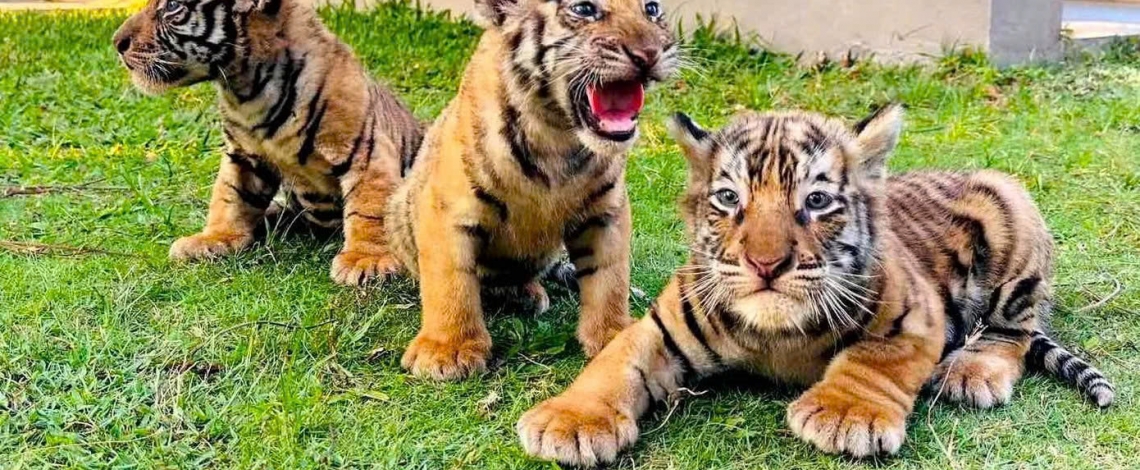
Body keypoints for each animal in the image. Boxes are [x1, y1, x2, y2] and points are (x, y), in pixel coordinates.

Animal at [112, 0, 423, 286]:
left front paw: (367, 259)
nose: (117, 42)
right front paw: (214, 238)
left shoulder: (365, 151)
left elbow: (369, 209)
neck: (246, 89)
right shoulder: (242, 155)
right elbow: (229, 197)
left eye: (172, 7)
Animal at [386, 0, 678, 380]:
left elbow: (610, 277)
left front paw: (613, 337)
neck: (558, 134)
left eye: (652, 8)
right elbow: (451, 281)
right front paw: (447, 351)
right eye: (585, 9)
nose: (650, 53)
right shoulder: (448, 208)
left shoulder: (606, 211)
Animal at [517, 104, 1114, 465]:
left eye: (817, 200)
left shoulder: (916, 314)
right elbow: (613, 364)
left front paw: (845, 414)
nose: (766, 264)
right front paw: (568, 421)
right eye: (729, 198)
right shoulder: (660, 326)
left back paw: (972, 372)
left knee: (1013, 329)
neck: (774, 335)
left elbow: (875, 360)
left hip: (1011, 210)